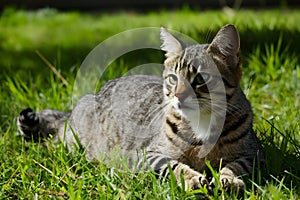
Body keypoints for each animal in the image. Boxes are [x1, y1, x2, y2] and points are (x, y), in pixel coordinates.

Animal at [17, 24, 264, 192]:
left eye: (201, 78)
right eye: (173, 78)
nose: (178, 95)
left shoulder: (253, 153)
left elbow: (236, 165)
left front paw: (228, 179)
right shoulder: (147, 154)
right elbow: (173, 166)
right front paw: (192, 178)